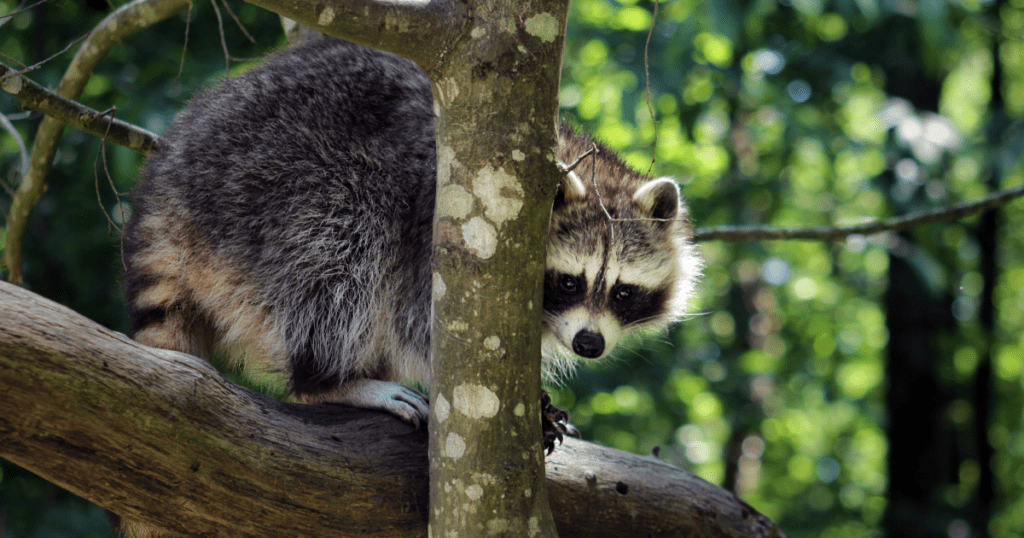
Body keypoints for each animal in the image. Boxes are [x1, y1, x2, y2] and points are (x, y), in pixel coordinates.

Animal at [116, 36, 700, 532]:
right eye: (569, 283)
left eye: (622, 292)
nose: (589, 344)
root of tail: (169, 182)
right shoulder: (439, 222)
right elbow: (421, 323)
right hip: (262, 189)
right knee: (343, 237)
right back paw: (329, 378)